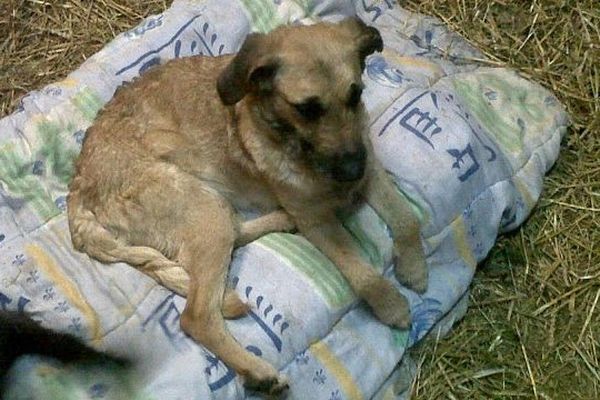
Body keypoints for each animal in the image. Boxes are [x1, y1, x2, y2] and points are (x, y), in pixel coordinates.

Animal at [67, 18, 426, 394]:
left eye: (355, 94)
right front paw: (389, 304)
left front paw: (414, 266)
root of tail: (78, 187)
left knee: (235, 232)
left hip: (213, 208)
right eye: (307, 109)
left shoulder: (372, 171)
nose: (352, 170)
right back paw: (259, 373)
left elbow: (405, 217)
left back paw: (279, 221)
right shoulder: (316, 220)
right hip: (205, 212)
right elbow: (359, 269)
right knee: (197, 318)